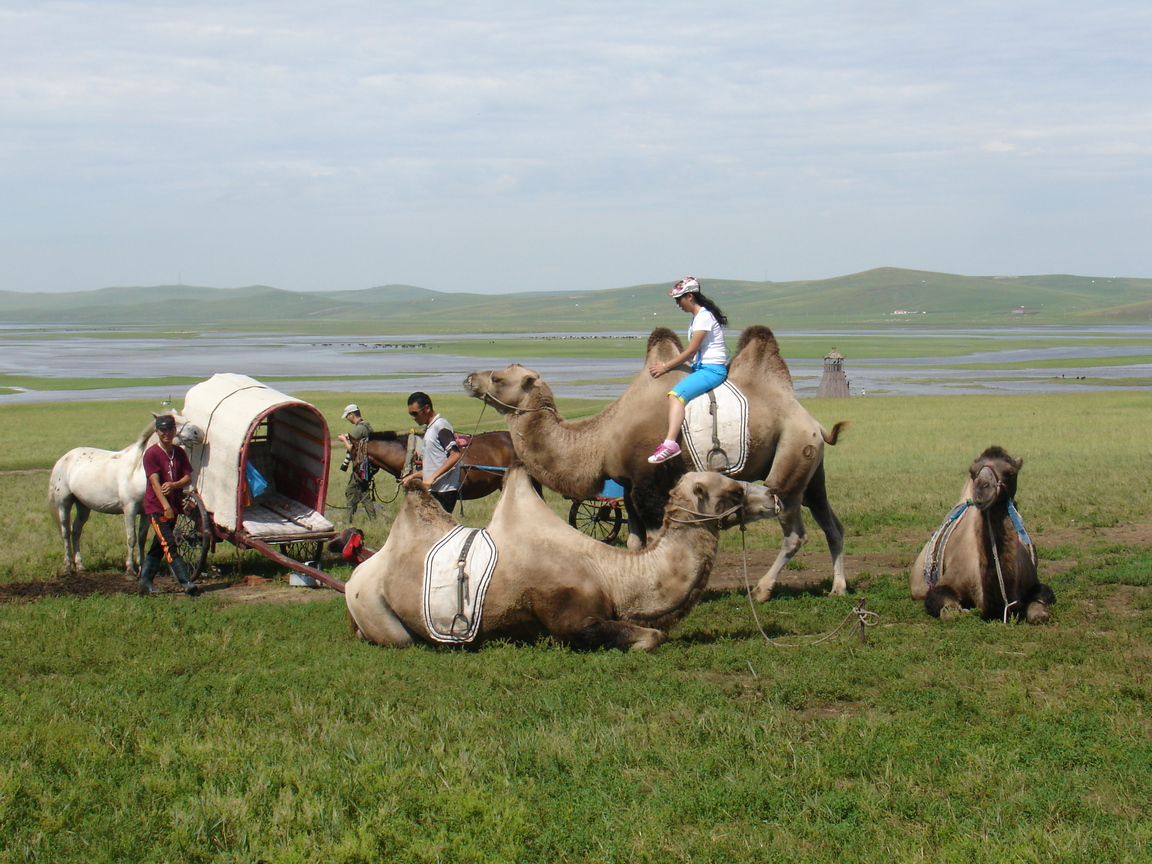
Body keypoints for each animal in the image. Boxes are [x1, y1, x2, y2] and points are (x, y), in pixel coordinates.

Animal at [49, 414, 203, 578]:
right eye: (175, 422)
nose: (199, 433)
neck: (138, 470)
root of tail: (64, 458)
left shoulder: (146, 513)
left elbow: (142, 538)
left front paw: (141, 567)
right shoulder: (129, 509)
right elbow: (131, 538)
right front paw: (130, 570)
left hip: (83, 506)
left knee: (76, 531)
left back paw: (80, 566)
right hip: (64, 504)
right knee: (66, 532)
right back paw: (67, 567)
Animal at [338, 463, 774, 654]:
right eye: (733, 491)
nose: (772, 495)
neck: (614, 576)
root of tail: (355, 577)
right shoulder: (569, 617)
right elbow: (652, 637)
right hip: (375, 609)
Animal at [463, 324, 852, 603]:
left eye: (498, 378)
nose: (469, 378)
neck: (602, 438)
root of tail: (812, 422)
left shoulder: (649, 485)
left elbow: (653, 541)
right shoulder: (629, 487)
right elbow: (635, 544)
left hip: (791, 459)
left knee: (795, 532)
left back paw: (761, 589)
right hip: (811, 469)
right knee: (832, 524)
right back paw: (838, 587)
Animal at [912, 449, 1055, 626]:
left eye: (1010, 472)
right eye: (972, 472)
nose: (981, 489)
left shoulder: (1033, 581)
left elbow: (1040, 610)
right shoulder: (947, 582)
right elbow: (949, 610)